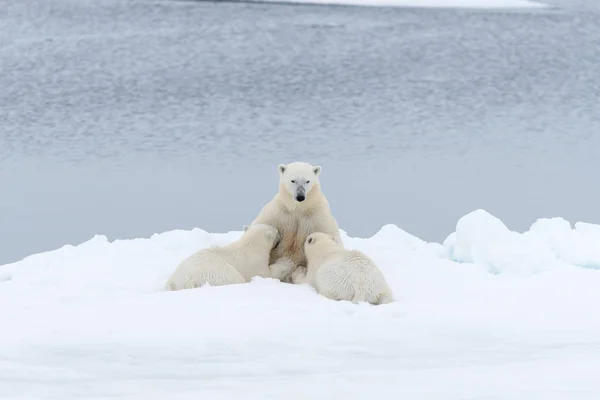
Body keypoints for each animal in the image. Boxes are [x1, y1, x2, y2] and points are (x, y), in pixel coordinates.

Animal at [165, 222, 294, 290]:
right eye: (276, 231)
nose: (281, 235)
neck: (250, 246)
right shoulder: (255, 262)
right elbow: (267, 274)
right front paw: (287, 261)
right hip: (216, 274)